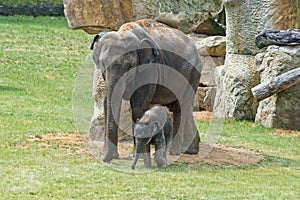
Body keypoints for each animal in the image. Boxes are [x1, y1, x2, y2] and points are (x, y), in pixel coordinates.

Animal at [91, 19, 202, 162]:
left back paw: (174, 152)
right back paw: (190, 150)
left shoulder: (149, 69)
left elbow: (138, 106)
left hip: (193, 74)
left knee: (181, 107)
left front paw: (136, 155)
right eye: (103, 64)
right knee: (182, 108)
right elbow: (106, 103)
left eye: (130, 66)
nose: (107, 157)